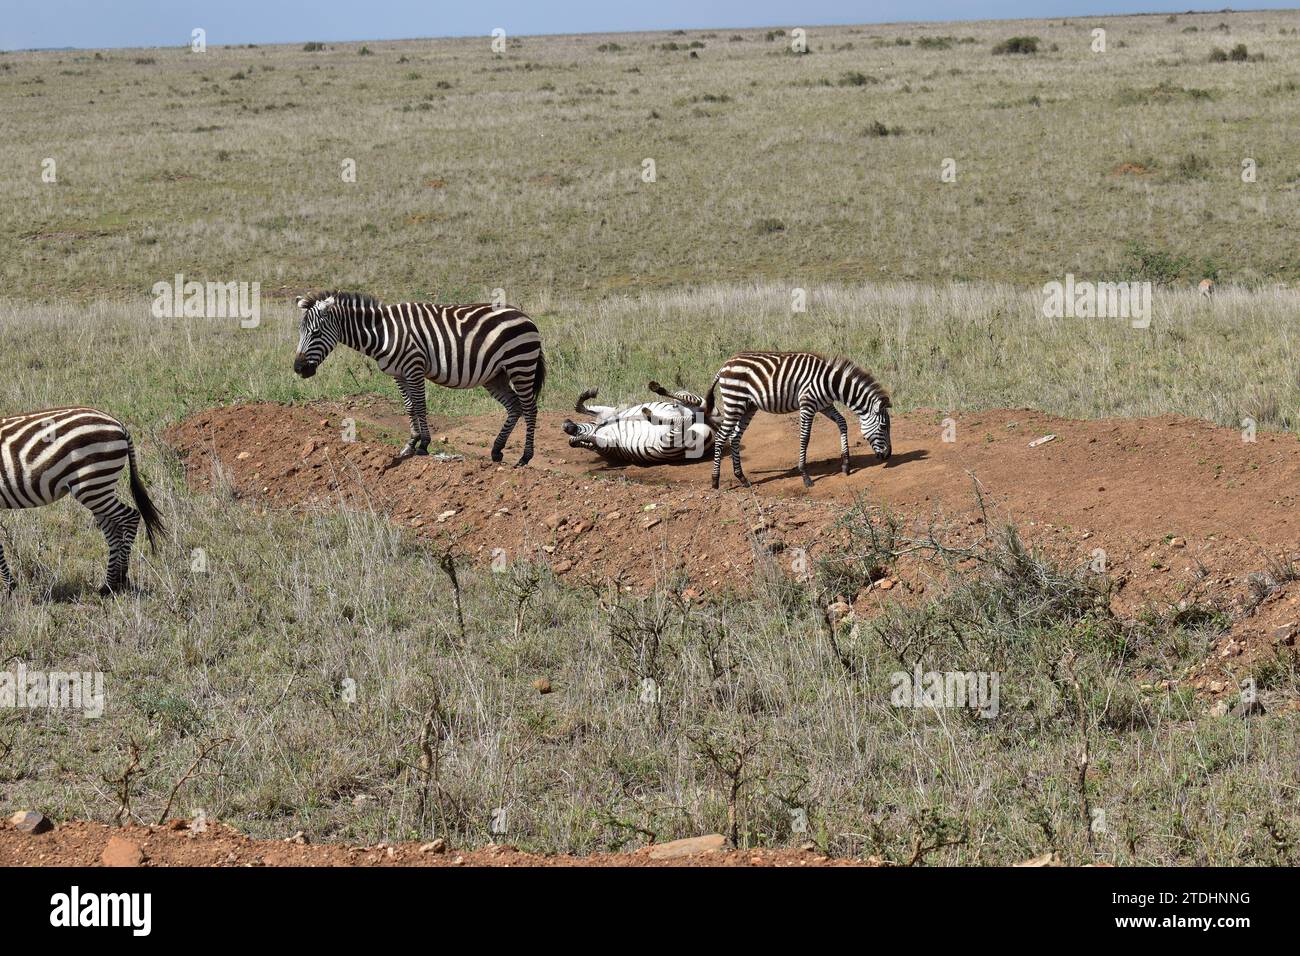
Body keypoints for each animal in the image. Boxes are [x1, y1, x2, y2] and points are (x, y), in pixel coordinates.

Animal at [0, 408, 165, 595]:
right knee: (114, 530)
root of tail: (118, 424)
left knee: (131, 517)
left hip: (92, 486)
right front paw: (10, 586)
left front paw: (9, 588)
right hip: (98, 488)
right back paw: (110, 585)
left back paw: (119, 579)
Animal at [293, 293, 543, 468]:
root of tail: (524, 315)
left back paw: (525, 457)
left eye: (315, 333)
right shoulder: (399, 374)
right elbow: (410, 406)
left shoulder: (414, 367)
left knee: (530, 408)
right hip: (495, 375)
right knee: (514, 406)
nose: (298, 368)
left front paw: (423, 445)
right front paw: (410, 444)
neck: (383, 333)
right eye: (300, 332)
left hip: (520, 364)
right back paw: (497, 450)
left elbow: (421, 405)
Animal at [561, 379, 717, 465]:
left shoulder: (611, 412)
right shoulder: (609, 445)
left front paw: (589, 393)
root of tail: (713, 426)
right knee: (682, 422)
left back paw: (656, 391)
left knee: (692, 403)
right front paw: (577, 440)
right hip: (667, 444)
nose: (566, 426)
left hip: (686, 397)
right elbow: (584, 438)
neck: (597, 428)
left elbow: (578, 407)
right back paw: (651, 413)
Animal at [702, 351, 894, 489]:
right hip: (734, 402)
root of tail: (725, 365)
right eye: (883, 426)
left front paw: (846, 465)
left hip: (748, 406)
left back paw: (742, 478)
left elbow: (842, 423)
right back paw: (715, 480)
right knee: (721, 437)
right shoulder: (807, 405)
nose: (888, 455)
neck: (830, 383)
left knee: (735, 437)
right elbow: (805, 438)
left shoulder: (824, 406)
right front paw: (805, 476)